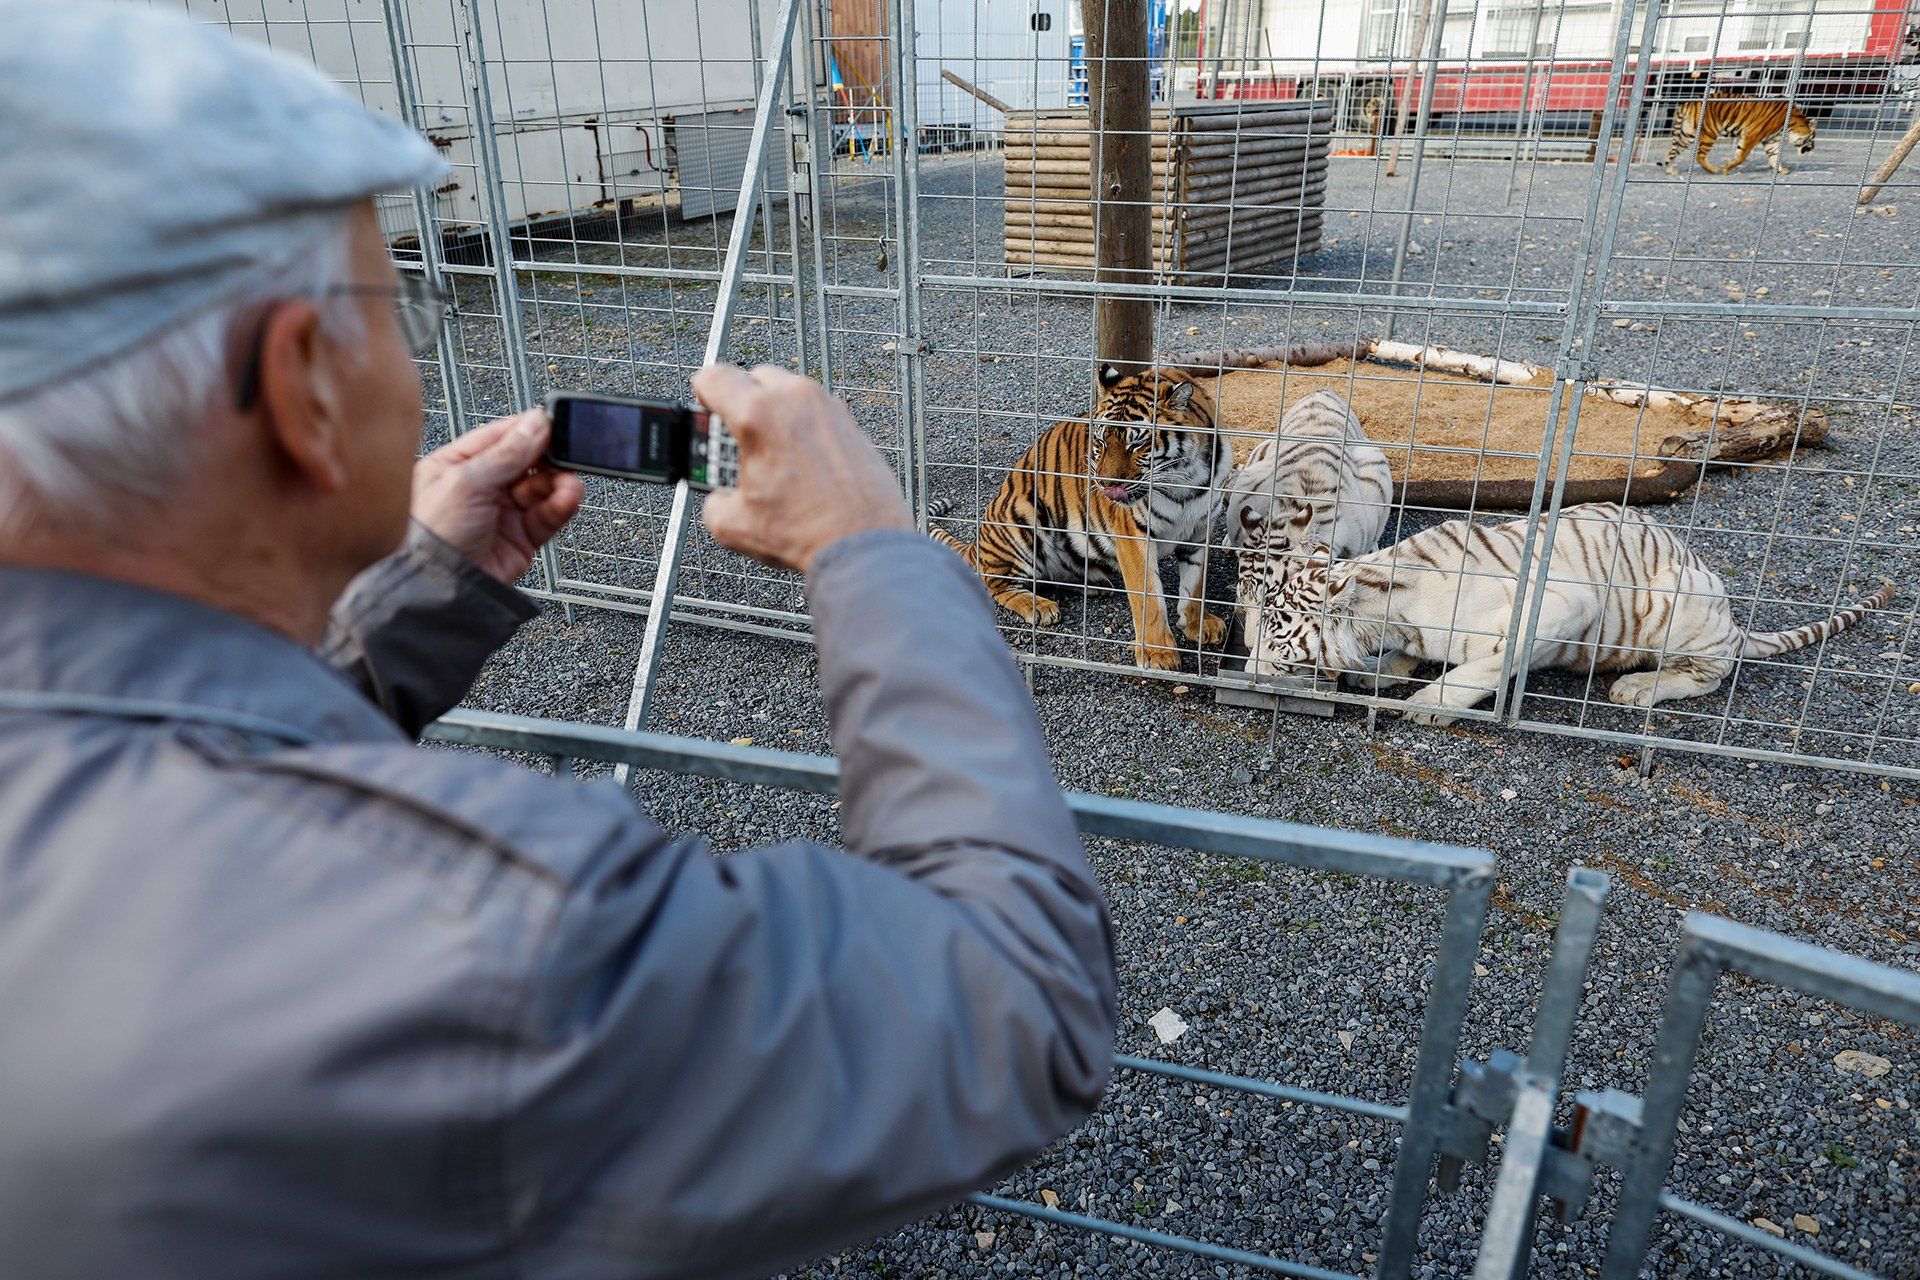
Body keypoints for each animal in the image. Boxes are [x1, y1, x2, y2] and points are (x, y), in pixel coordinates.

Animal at [927, 364, 1230, 671]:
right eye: (1101, 441)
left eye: (1137, 444)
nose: (1106, 484)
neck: (1185, 482)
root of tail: (977, 544)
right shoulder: (1133, 535)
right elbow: (1148, 597)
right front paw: (1158, 654)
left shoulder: (1200, 530)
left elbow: (1195, 584)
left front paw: (1198, 625)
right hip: (1025, 517)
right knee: (996, 584)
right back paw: (1041, 606)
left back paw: (1095, 585)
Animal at [1240, 501, 1892, 722]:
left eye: (1276, 636)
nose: (1245, 672)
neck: (1385, 611)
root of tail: (1735, 622)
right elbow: (1403, 657)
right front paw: (1377, 673)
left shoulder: (1560, 603)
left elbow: (1486, 665)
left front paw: (1430, 704)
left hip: (1684, 607)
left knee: (1714, 673)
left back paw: (1639, 687)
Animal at [1664, 97, 1815, 176]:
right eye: (1813, 138)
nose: (1813, 148)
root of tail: (1689, 102)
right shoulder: (1751, 134)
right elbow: (1741, 156)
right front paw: (1726, 169)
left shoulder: (1770, 141)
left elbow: (1774, 156)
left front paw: (1781, 169)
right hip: (1709, 133)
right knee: (1699, 155)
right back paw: (1713, 169)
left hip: (1686, 134)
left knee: (1671, 151)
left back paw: (1670, 170)